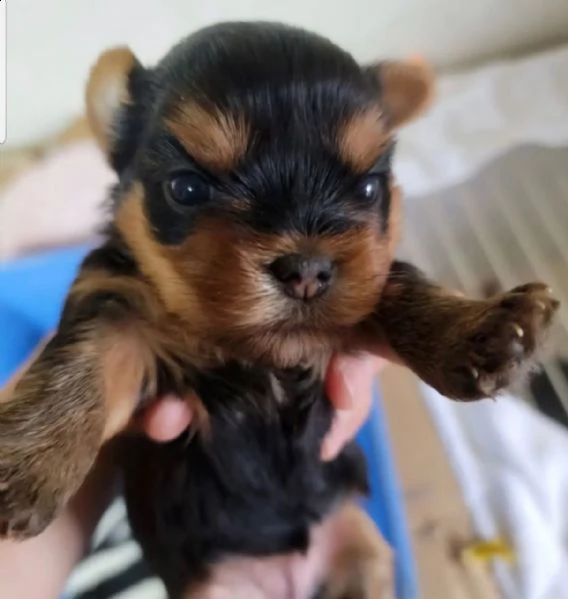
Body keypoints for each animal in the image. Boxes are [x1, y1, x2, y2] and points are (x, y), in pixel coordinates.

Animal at [0, 21, 560, 596]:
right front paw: (28, 463)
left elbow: (400, 287)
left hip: (358, 540)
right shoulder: (114, 293)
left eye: (368, 188)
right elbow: (85, 358)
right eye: (186, 187)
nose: (307, 270)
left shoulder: (365, 288)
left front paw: (485, 331)